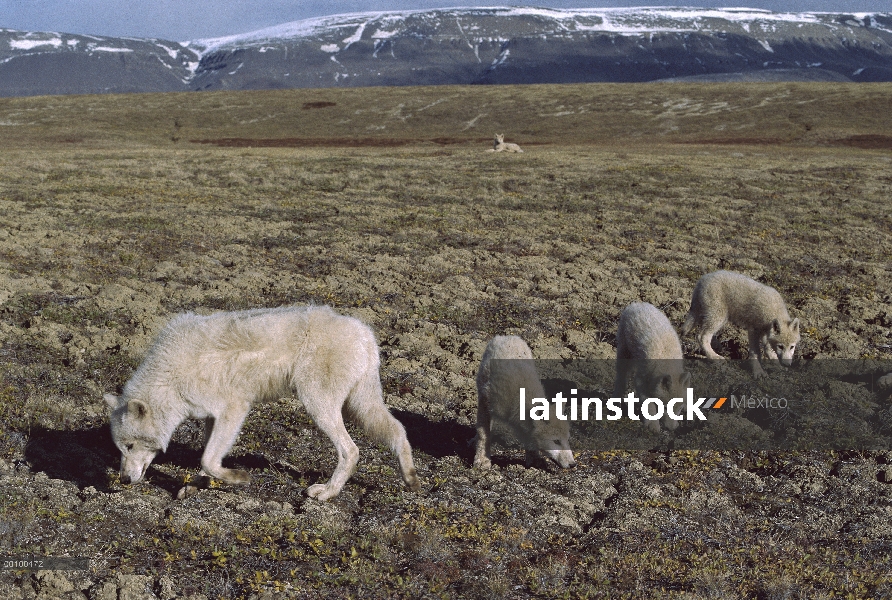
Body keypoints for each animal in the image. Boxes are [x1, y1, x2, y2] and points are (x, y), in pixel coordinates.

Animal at [105, 304, 422, 502]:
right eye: (120, 449)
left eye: (130, 446)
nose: (123, 480)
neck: (170, 377)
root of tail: (366, 332)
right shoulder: (212, 418)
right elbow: (206, 460)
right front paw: (196, 486)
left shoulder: (235, 410)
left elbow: (208, 460)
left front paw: (239, 478)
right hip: (360, 407)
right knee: (398, 431)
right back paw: (411, 479)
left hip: (319, 406)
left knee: (351, 451)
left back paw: (327, 492)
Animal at [478, 332, 576, 468]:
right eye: (556, 441)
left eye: (567, 439)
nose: (573, 464)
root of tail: (508, 336)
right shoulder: (485, 401)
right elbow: (483, 434)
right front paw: (482, 460)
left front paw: (534, 460)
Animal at [616, 302, 692, 434]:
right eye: (665, 407)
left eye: (679, 408)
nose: (672, 428)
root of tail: (636, 304)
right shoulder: (642, 379)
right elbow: (649, 404)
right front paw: (653, 426)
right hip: (624, 349)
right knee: (621, 374)